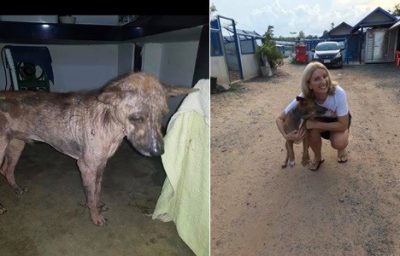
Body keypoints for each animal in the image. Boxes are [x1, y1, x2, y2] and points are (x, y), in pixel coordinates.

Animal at [0, 71, 197, 225]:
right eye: (136, 118)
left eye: (163, 114)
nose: (159, 152)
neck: (110, 124)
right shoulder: (86, 166)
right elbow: (90, 195)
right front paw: (95, 217)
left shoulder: (101, 165)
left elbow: (96, 191)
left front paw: (97, 205)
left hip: (16, 145)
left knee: (6, 170)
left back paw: (16, 189)